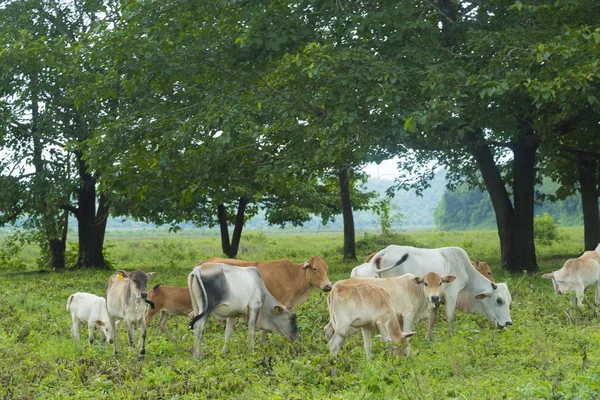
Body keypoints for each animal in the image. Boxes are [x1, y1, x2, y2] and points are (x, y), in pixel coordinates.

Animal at [358, 247, 512, 334]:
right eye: (499, 300)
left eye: (509, 301)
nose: (508, 323)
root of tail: (384, 252)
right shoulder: (452, 295)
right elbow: (450, 318)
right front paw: (451, 338)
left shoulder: (436, 299)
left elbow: (432, 320)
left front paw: (428, 339)